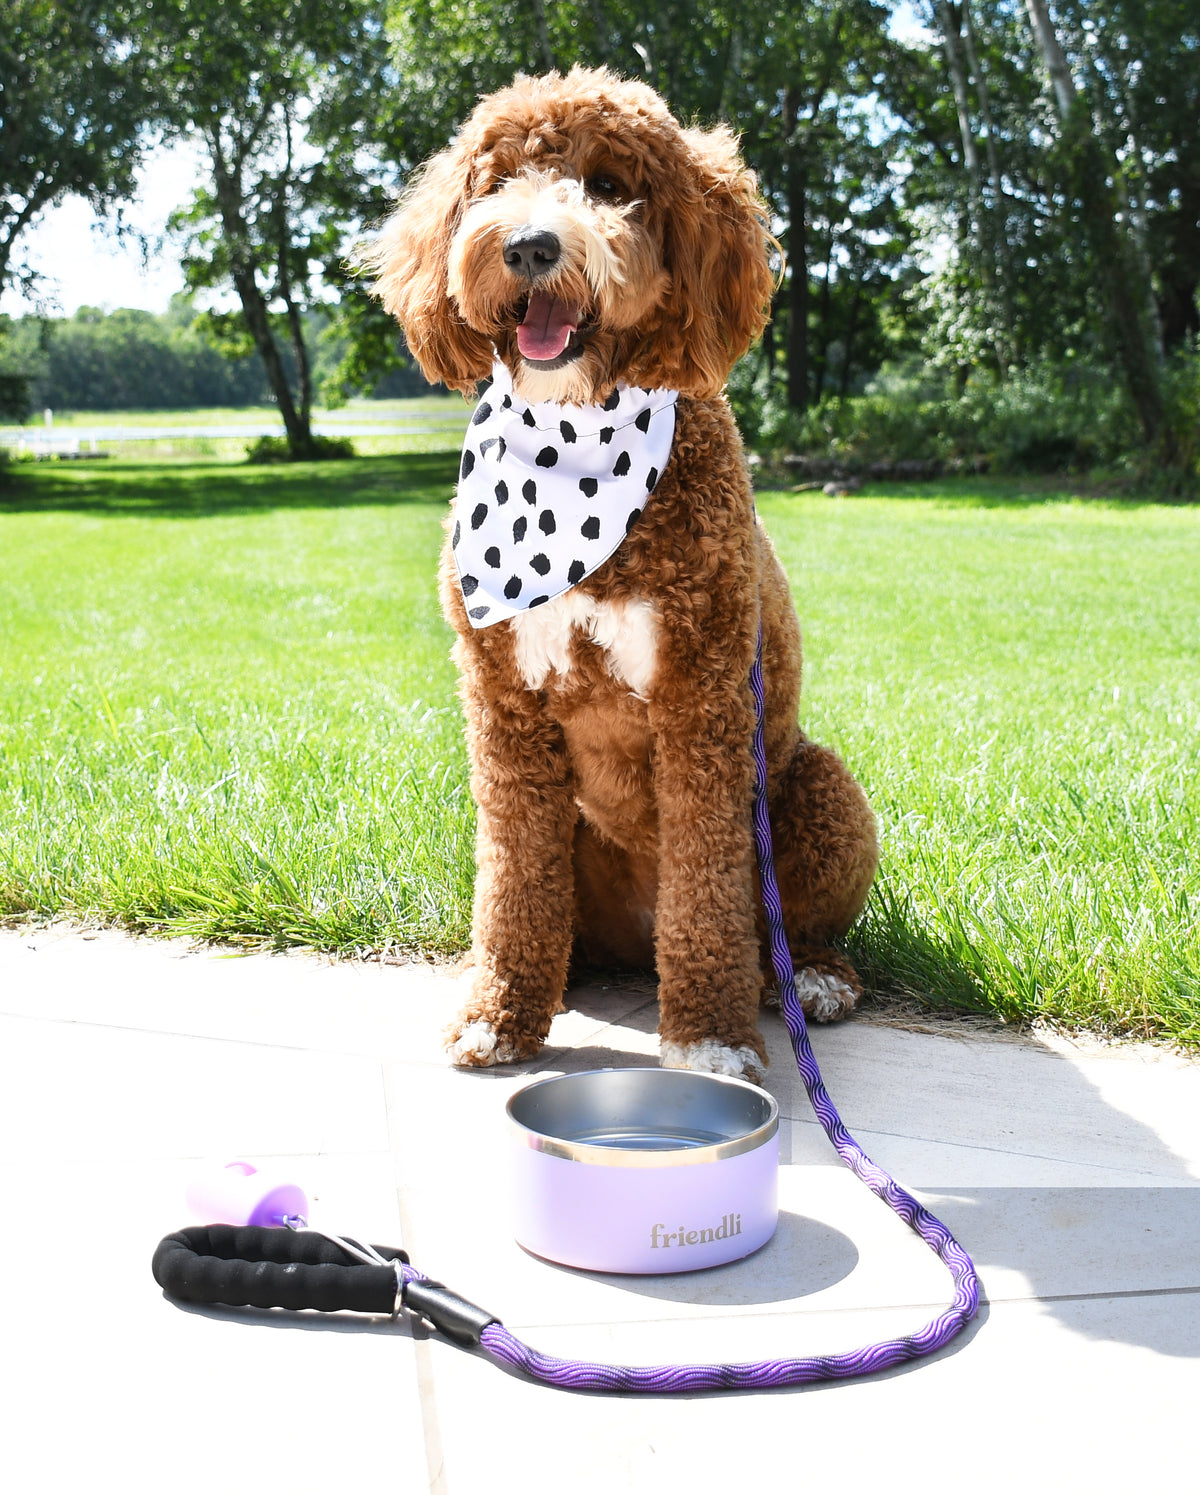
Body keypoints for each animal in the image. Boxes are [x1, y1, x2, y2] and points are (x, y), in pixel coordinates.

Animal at [370, 64, 878, 1082]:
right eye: (494, 182)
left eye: (609, 185)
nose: (529, 245)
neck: (574, 439)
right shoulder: (503, 709)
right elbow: (513, 882)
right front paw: (500, 1013)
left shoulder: (704, 700)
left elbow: (708, 892)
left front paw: (713, 1036)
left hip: (819, 790)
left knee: (792, 931)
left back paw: (810, 982)